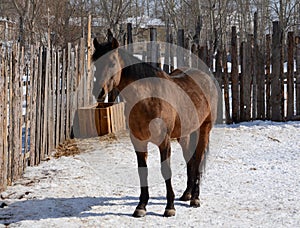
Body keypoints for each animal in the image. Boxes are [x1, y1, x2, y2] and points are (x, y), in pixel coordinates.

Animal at [91, 37, 218, 217]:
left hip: (204, 130)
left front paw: (170, 207)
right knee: (190, 158)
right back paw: (187, 194)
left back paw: (195, 198)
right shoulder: (138, 142)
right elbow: (142, 171)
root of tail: (206, 78)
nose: (99, 92)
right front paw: (141, 206)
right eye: (95, 63)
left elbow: (166, 171)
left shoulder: (164, 142)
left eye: (112, 62)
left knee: (198, 159)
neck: (148, 99)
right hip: (184, 134)